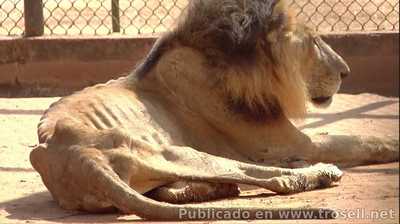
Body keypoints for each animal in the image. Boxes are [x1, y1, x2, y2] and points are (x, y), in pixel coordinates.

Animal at [29, 0, 398, 220]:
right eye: (314, 40)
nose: (346, 72)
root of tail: (77, 158)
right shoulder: (289, 142)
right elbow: (355, 140)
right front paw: (390, 144)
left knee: (178, 188)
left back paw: (215, 190)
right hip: (177, 151)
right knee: (269, 178)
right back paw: (318, 172)